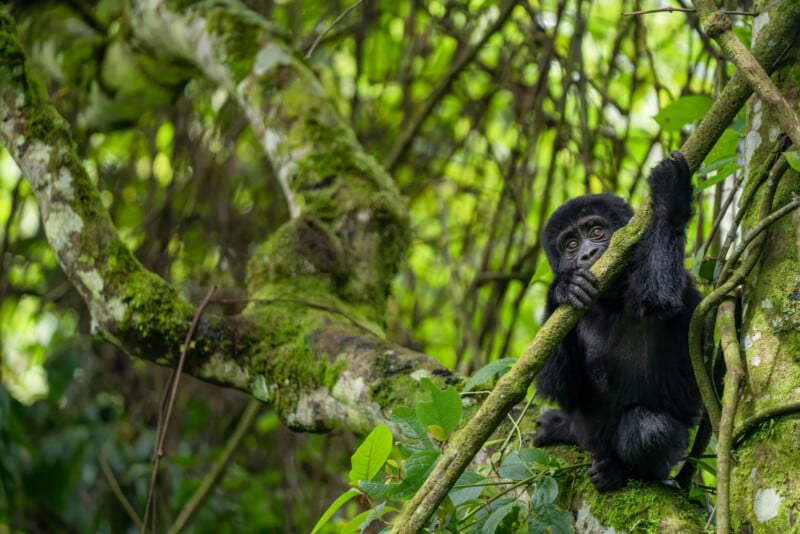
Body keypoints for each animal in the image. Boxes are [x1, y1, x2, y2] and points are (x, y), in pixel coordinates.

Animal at [536, 151, 700, 494]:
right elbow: (563, 386)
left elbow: (658, 297)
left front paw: (671, 197)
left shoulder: (681, 286)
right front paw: (562, 289)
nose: (587, 254)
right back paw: (563, 429)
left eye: (597, 231)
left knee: (646, 427)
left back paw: (624, 472)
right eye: (571, 245)